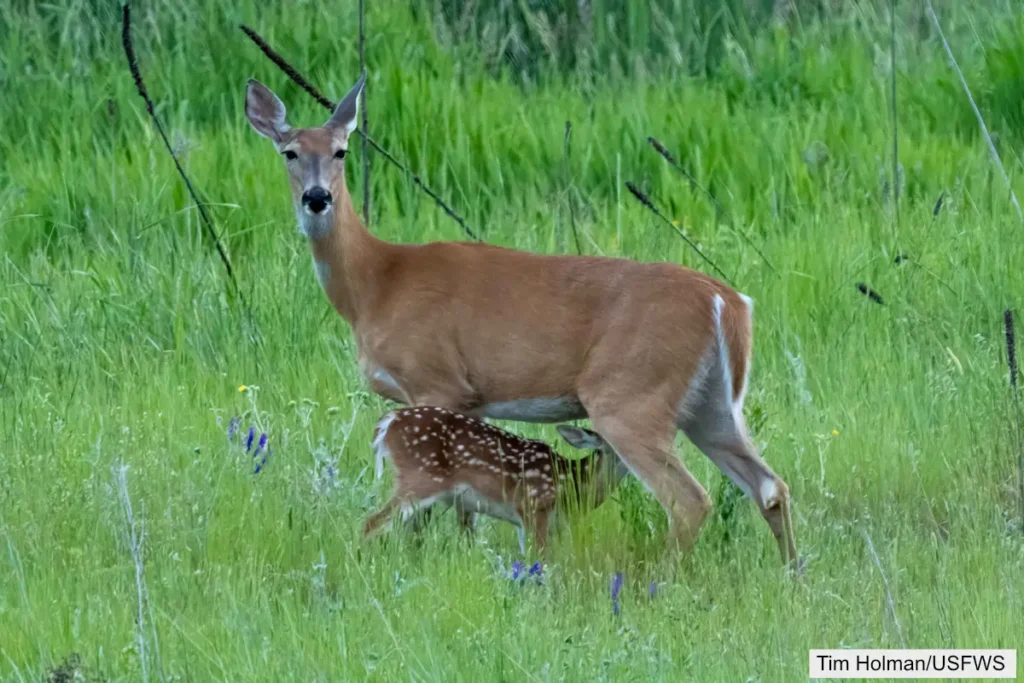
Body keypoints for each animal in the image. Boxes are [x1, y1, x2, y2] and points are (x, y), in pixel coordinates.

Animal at [362, 405, 629, 553]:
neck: (570, 482)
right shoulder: (533, 507)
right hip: (418, 479)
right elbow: (541, 560)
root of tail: (388, 421)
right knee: (371, 524)